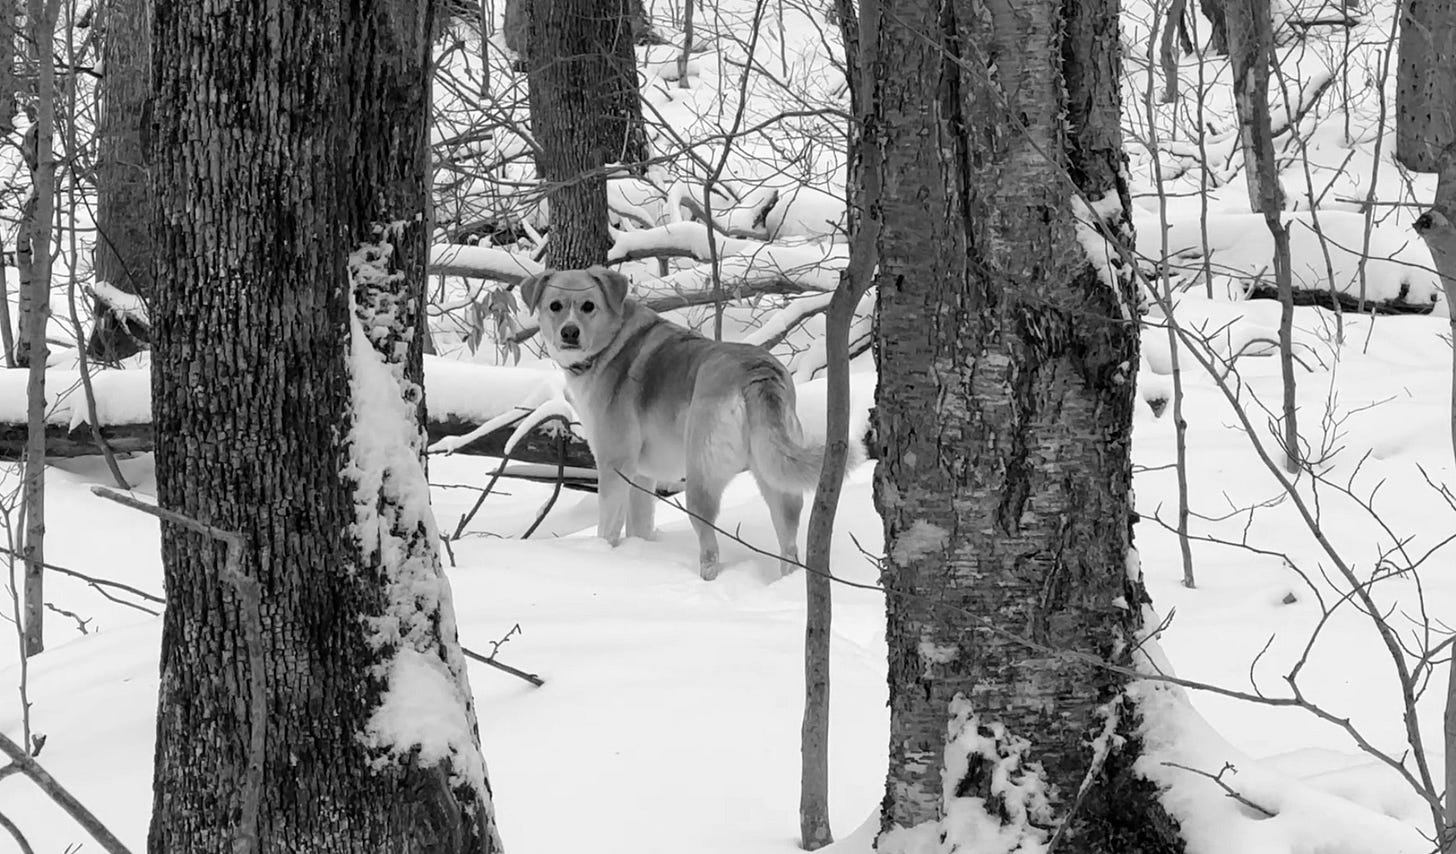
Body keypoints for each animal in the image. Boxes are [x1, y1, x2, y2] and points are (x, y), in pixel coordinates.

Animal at [521, 263, 838, 579]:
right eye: (555, 306)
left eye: (588, 306)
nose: (569, 332)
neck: (612, 343)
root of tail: (757, 371)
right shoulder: (641, 476)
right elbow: (639, 526)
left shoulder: (616, 465)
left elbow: (608, 529)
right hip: (777, 479)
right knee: (789, 546)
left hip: (700, 479)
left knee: (710, 549)